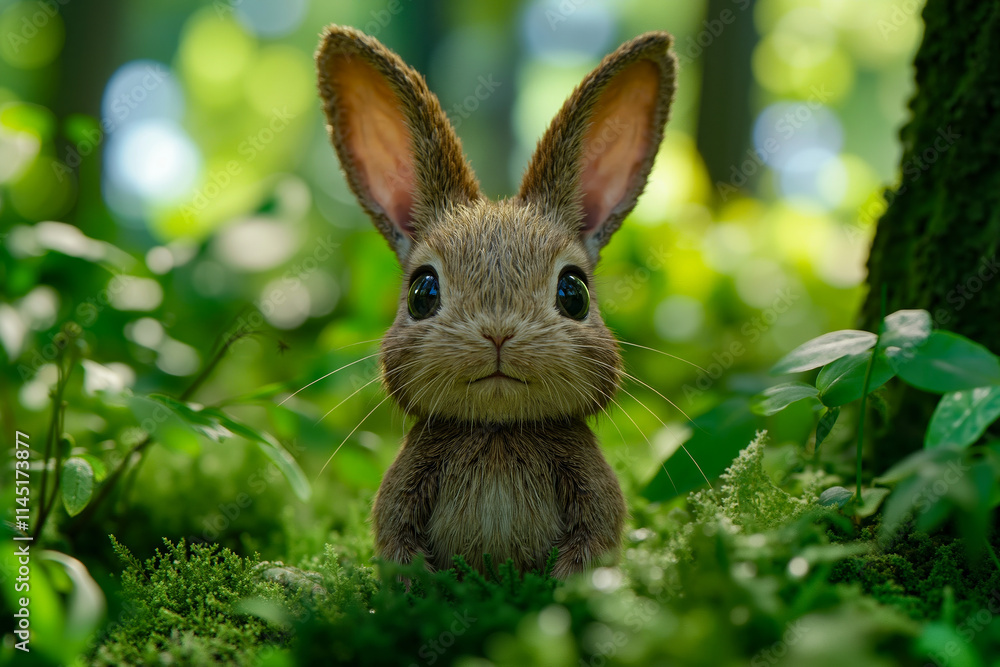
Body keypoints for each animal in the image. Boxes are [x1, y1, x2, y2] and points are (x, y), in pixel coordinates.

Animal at [316, 25, 677, 578]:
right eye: (422, 293)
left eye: (574, 293)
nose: (499, 332)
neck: (498, 430)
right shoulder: (403, 488)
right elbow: (397, 541)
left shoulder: (593, 491)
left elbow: (594, 543)